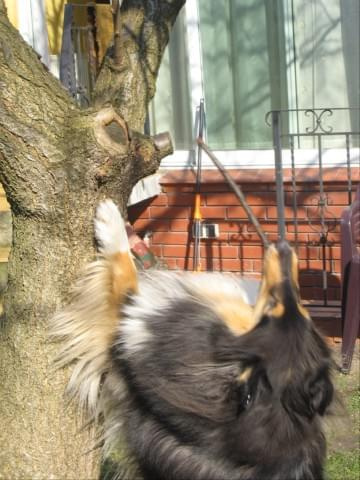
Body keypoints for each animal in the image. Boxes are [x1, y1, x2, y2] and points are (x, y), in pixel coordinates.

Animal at [50, 200, 334, 480]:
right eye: (298, 306)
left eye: (274, 306)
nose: (286, 248)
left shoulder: (128, 333)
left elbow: (125, 273)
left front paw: (111, 221)